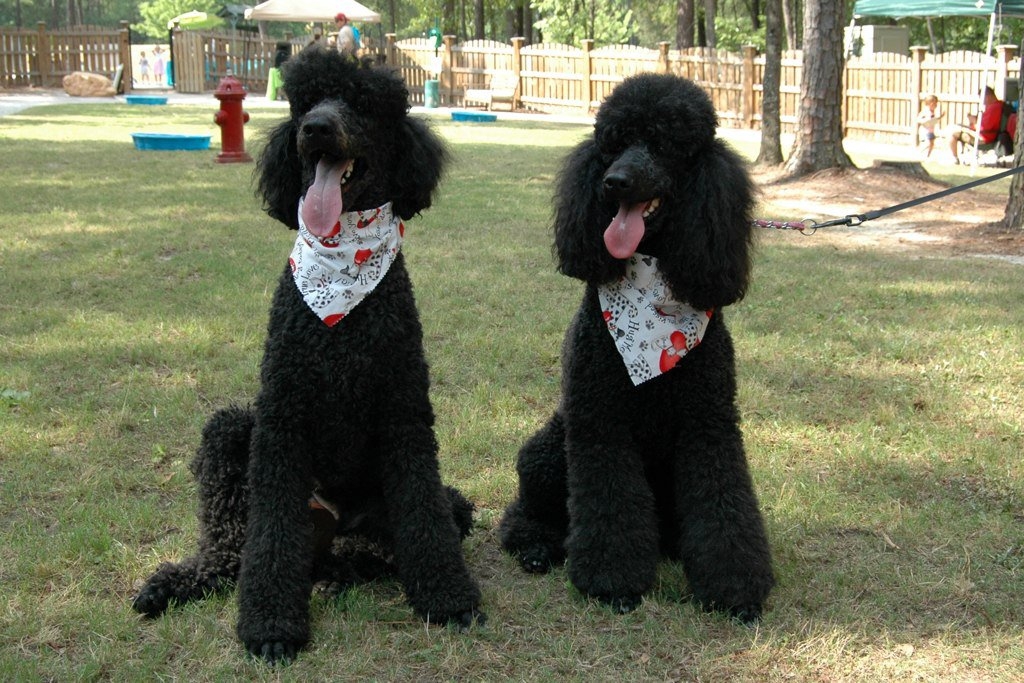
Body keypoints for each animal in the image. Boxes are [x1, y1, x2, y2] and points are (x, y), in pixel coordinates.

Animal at [132, 47, 484, 663]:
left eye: (362, 103)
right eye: (305, 102)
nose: (316, 128)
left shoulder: (404, 414)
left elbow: (423, 514)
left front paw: (447, 597)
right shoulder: (282, 419)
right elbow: (270, 538)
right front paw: (271, 624)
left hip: (426, 506)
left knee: (375, 547)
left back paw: (341, 573)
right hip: (231, 435)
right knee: (234, 551)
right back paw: (182, 581)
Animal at [499, 73, 775, 620]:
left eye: (666, 144)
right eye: (614, 142)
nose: (616, 182)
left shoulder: (709, 424)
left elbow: (723, 502)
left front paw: (734, 589)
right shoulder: (600, 422)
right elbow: (610, 503)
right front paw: (613, 582)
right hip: (546, 452)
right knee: (523, 515)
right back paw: (538, 546)